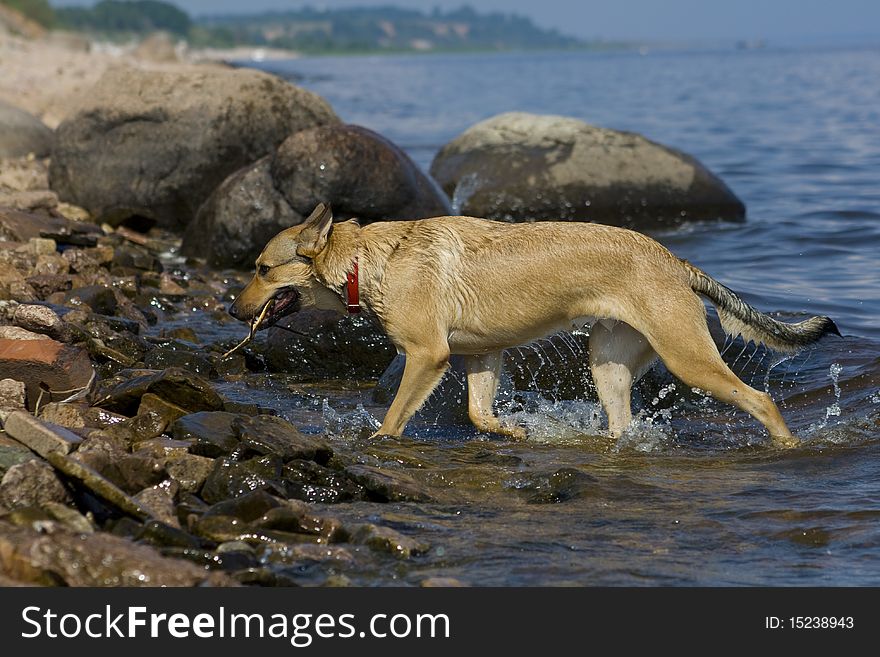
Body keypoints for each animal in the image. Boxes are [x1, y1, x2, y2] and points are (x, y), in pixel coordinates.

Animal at [229, 200, 840, 446]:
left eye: (261, 269)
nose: (234, 311)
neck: (366, 261)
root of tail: (673, 260)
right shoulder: (481, 355)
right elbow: (479, 414)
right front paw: (515, 431)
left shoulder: (428, 356)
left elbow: (394, 420)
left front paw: (378, 443)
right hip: (607, 362)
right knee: (620, 425)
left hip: (688, 359)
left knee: (763, 400)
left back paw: (787, 446)